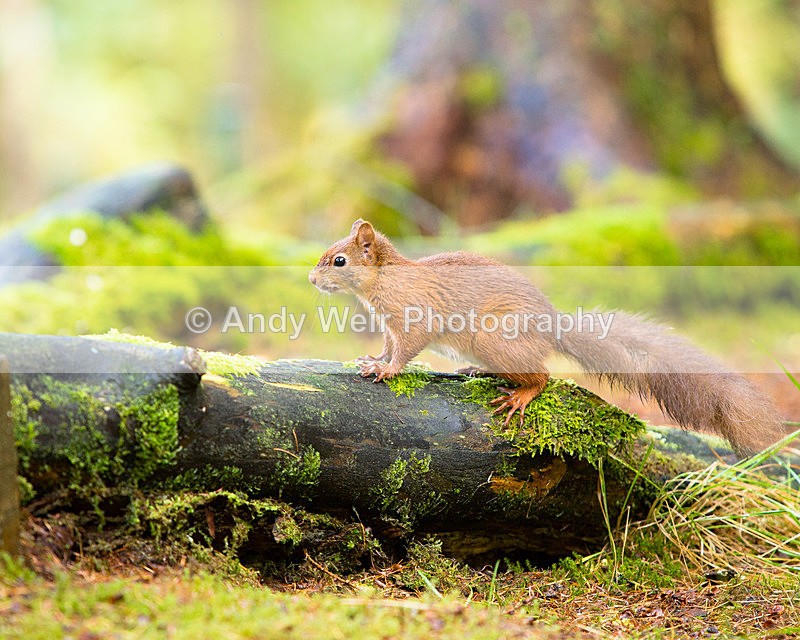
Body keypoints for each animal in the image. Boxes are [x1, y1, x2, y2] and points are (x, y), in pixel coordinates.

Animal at [309, 219, 782, 454]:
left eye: (339, 260)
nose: (312, 280)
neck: (384, 281)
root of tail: (551, 329)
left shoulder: (414, 316)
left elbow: (405, 350)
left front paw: (387, 371)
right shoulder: (389, 325)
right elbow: (389, 345)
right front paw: (374, 361)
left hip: (496, 340)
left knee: (543, 377)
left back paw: (520, 395)